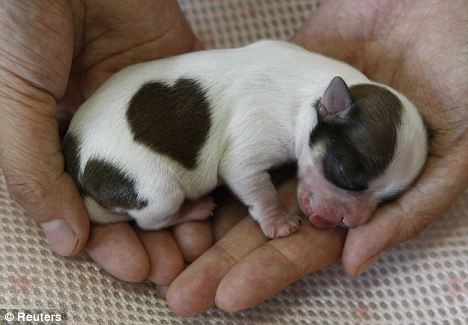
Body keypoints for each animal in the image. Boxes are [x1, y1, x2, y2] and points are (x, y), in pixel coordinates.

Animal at [62, 41, 428, 238]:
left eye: (387, 198)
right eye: (343, 175)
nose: (346, 223)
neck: (311, 90)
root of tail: (75, 161)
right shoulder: (253, 141)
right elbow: (256, 185)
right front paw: (278, 222)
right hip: (156, 190)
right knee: (151, 220)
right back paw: (193, 210)